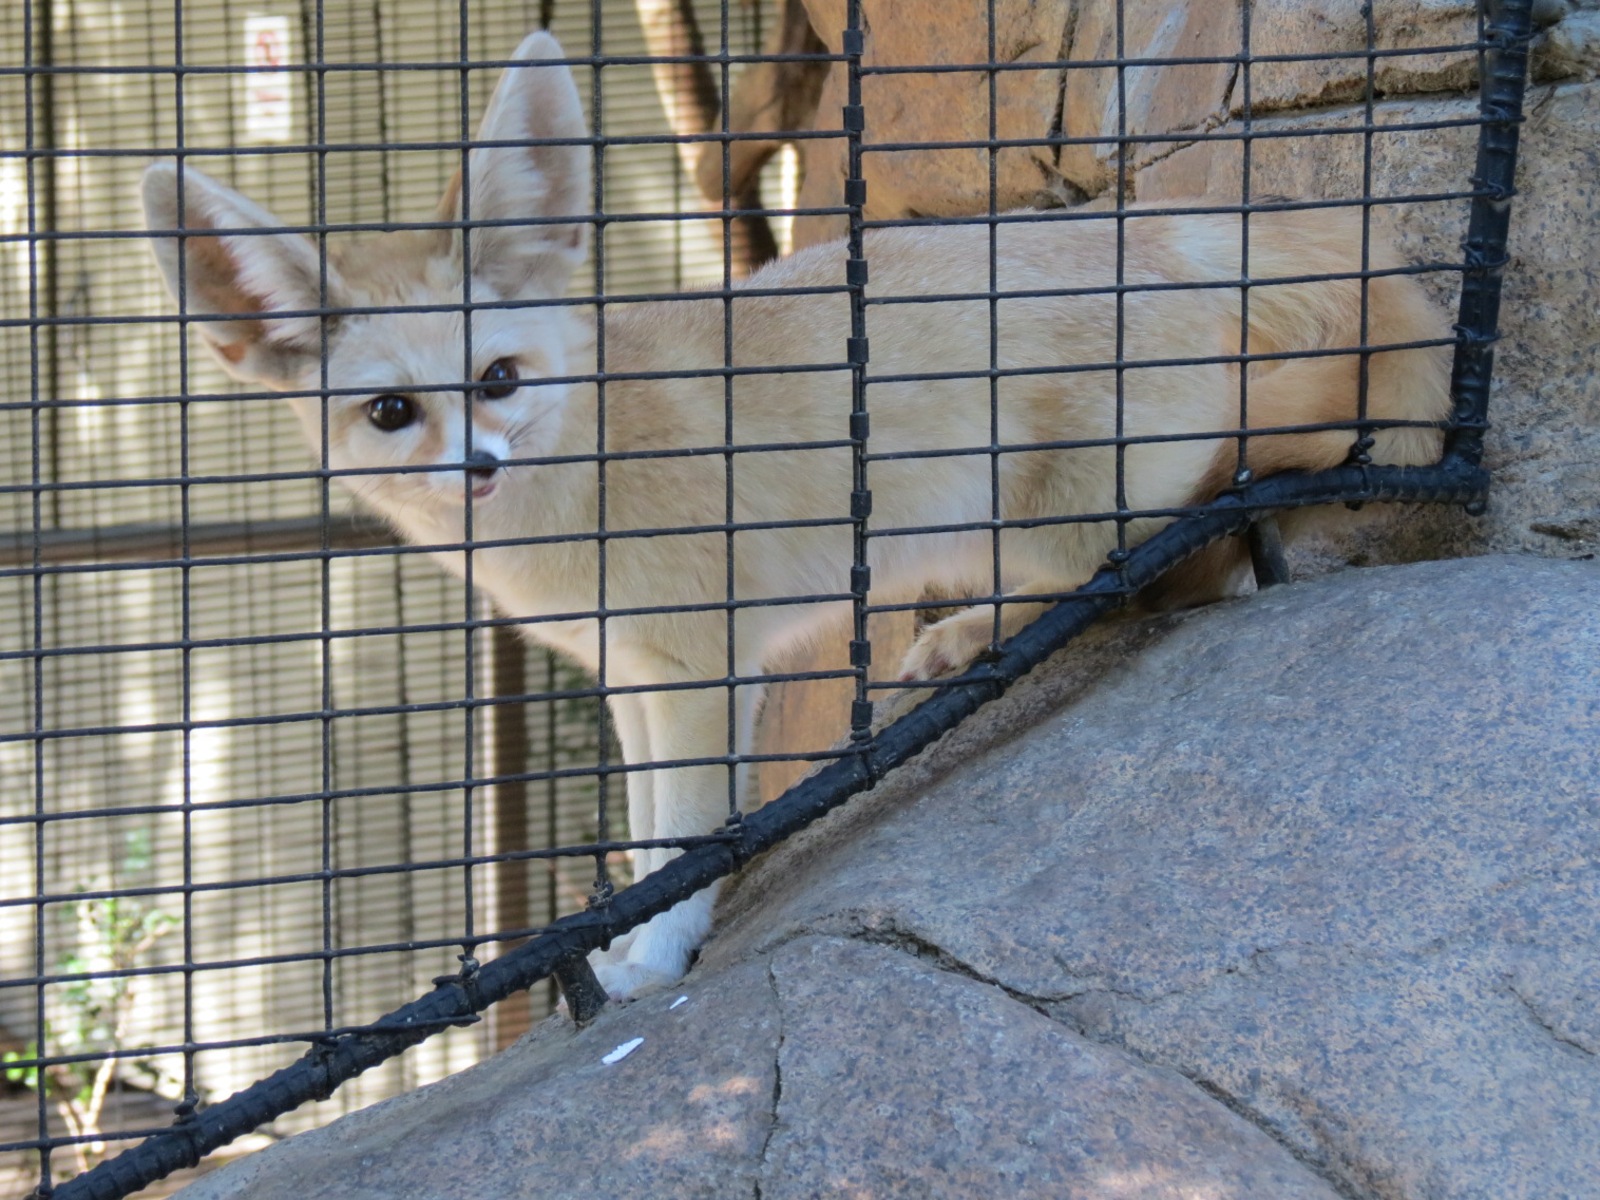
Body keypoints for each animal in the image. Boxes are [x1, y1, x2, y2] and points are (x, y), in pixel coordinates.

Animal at [142, 31, 1452, 1000]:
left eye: (501, 380)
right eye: (391, 411)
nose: (473, 467)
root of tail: (1159, 233)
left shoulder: (702, 671)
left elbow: (685, 846)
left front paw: (651, 962)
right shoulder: (633, 681)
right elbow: (643, 836)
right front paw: (632, 939)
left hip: (1034, 518)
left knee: (1143, 573)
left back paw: (972, 636)